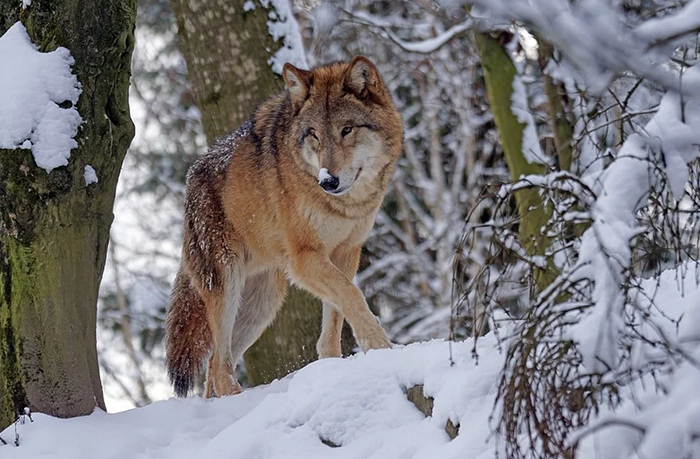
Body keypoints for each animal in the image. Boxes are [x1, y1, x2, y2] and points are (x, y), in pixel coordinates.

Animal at [165, 56, 403, 398]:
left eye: (347, 130)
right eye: (314, 134)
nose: (328, 181)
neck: (345, 205)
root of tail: (191, 177)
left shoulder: (346, 252)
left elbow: (336, 316)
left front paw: (334, 367)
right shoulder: (305, 258)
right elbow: (353, 296)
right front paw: (381, 348)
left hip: (262, 305)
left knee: (214, 367)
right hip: (227, 285)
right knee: (219, 365)